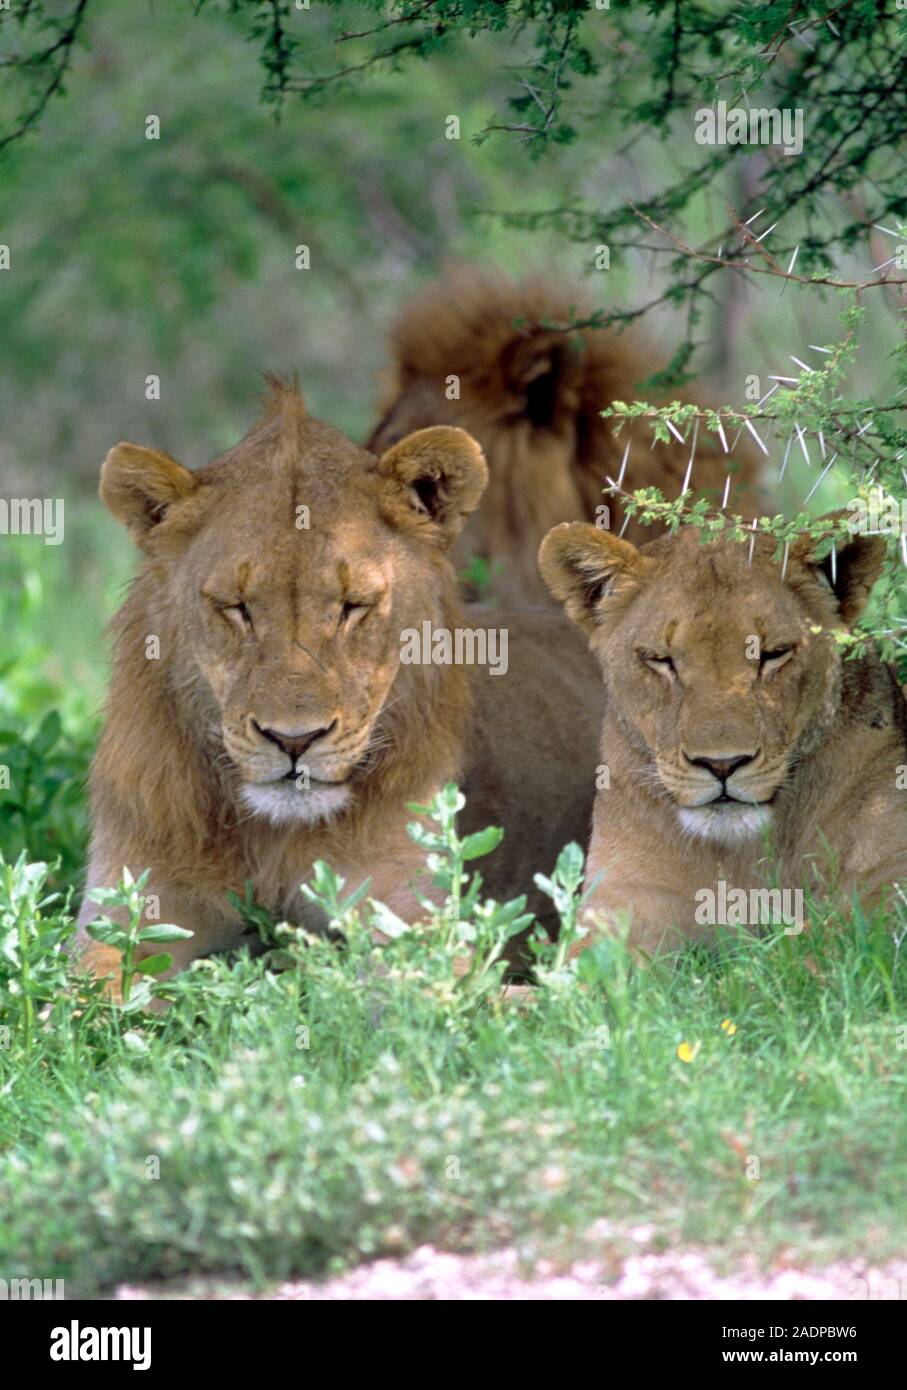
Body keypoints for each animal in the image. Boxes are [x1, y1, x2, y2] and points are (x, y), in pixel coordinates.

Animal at [75, 382, 604, 984]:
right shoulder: (127, 917)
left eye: (354, 606)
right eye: (236, 607)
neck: (272, 840)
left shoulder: (413, 930)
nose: (294, 740)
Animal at [539, 518, 907, 955]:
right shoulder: (625, 895)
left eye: (773, 654)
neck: (742, 855)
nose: (722, 764)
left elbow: (813, 947)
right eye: (661, 660)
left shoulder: (887, 875)